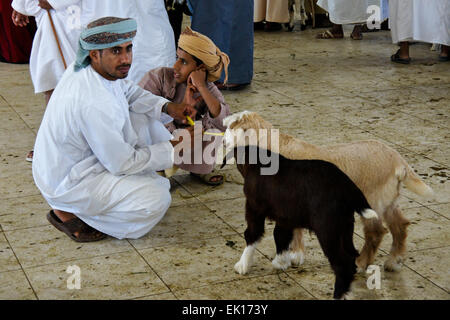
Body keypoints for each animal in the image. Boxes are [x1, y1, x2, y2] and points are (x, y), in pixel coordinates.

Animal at [223, 145, 378, 300]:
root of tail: (347, 185)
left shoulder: (254, 209)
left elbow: (252, 235)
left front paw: (242, 264)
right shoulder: (285, 216)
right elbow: (280, 236)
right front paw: (281, 262)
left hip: (328, 231)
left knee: (342, 264)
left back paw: (338, 295)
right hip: (345, 227)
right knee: (351, 256)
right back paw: (347, 293)